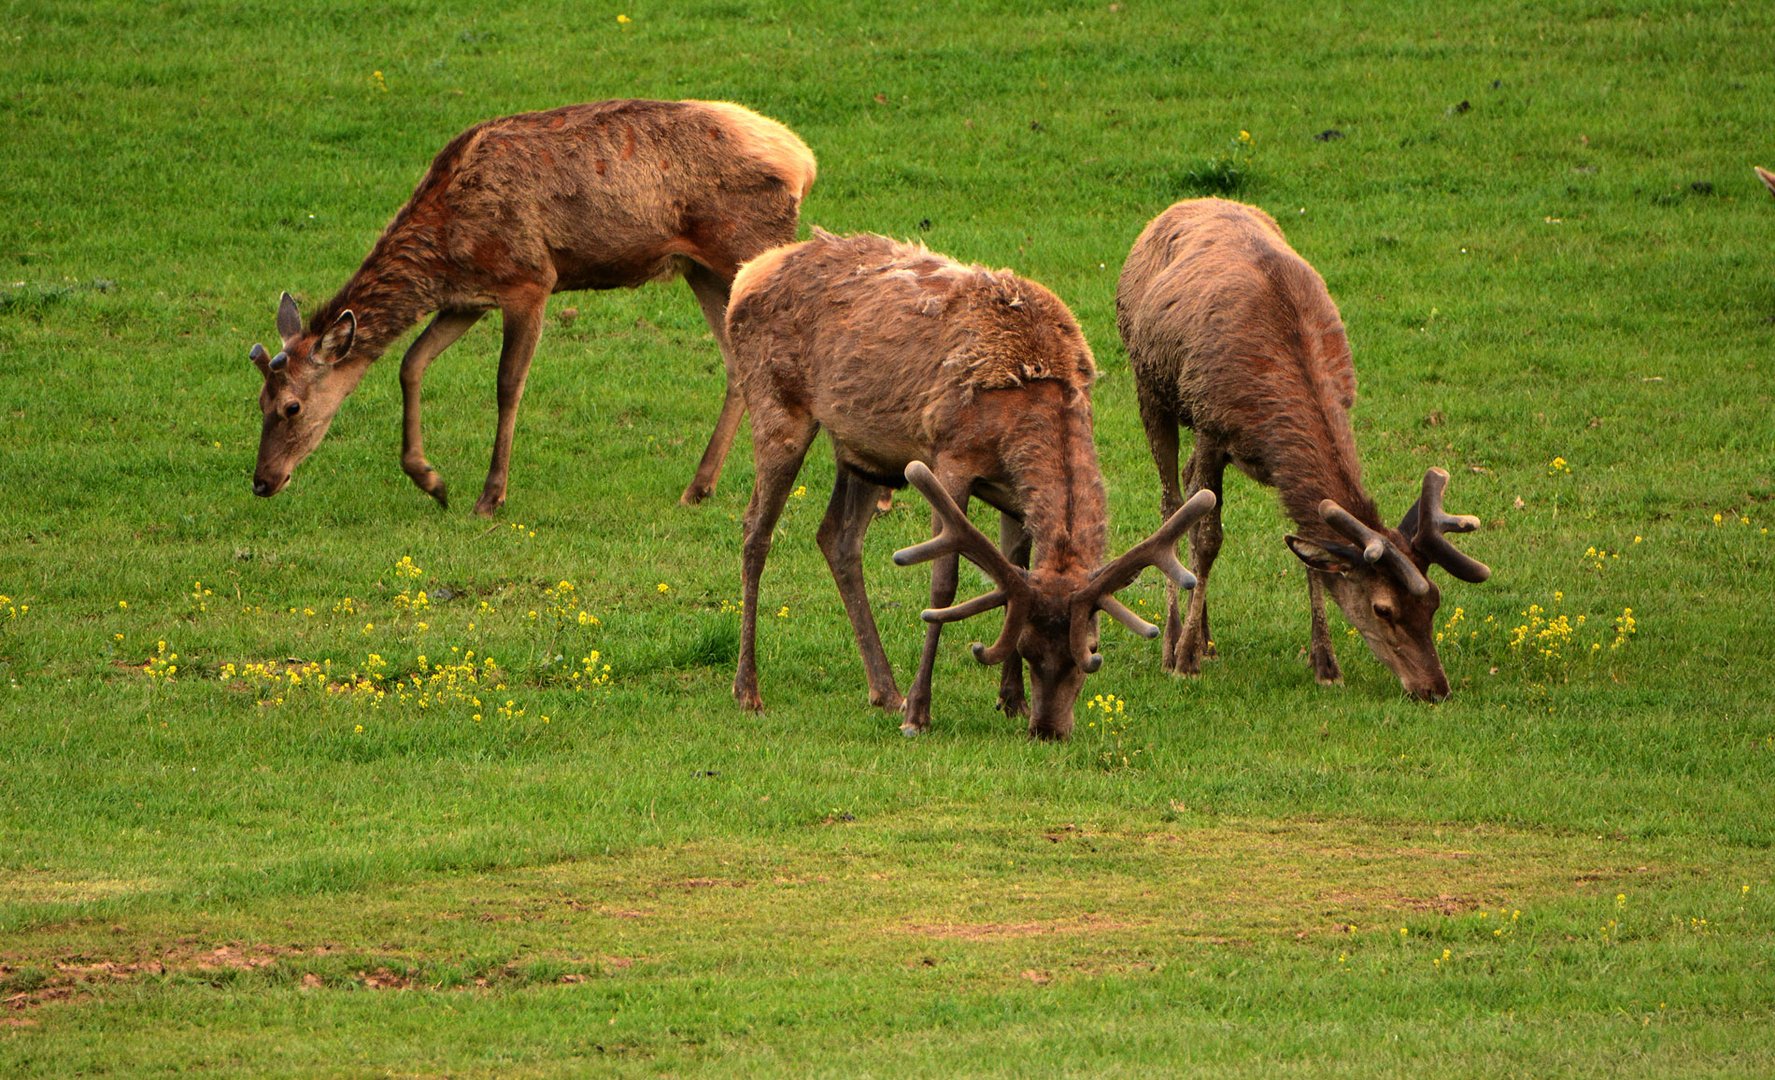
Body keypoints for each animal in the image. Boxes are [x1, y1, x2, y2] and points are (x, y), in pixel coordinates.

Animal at [250, 96, 816, 515]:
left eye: (291, 406)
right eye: (258, 402)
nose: (261, 481)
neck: (443, 243)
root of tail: (804, 161)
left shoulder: (530, 279)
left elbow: (507, 384)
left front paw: (490, 496)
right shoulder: (466, 298)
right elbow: (411, 363)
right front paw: (432, 481)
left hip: (749, 246)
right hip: (702, 269)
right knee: (737, 365)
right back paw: (698, 489)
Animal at [727, 230, 1214, 738]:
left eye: (1088, 655)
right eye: (1030, 649)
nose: (1048, 729)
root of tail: (749, 273)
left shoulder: (1013, 492)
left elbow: (1015, 568)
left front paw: (1011, 699)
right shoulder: (951, 458)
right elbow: (944, 583)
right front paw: (920, 712)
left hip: (863, 452)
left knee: (838, 538)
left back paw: (885, 691)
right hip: (775, 402)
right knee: (755, 532)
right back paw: (750, 691)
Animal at [1114, 198, 1491, 703]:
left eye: (1434, 601)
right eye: (1383, 608)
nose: (1435, 688)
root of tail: (1181, 207)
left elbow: (1309, 550)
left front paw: (1326, 663)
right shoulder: (1211, 425)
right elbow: (1209, 537)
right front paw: (1184, 660)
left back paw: (1208, 638)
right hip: (1150, 385)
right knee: (1173, 503)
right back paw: (1176, 640)